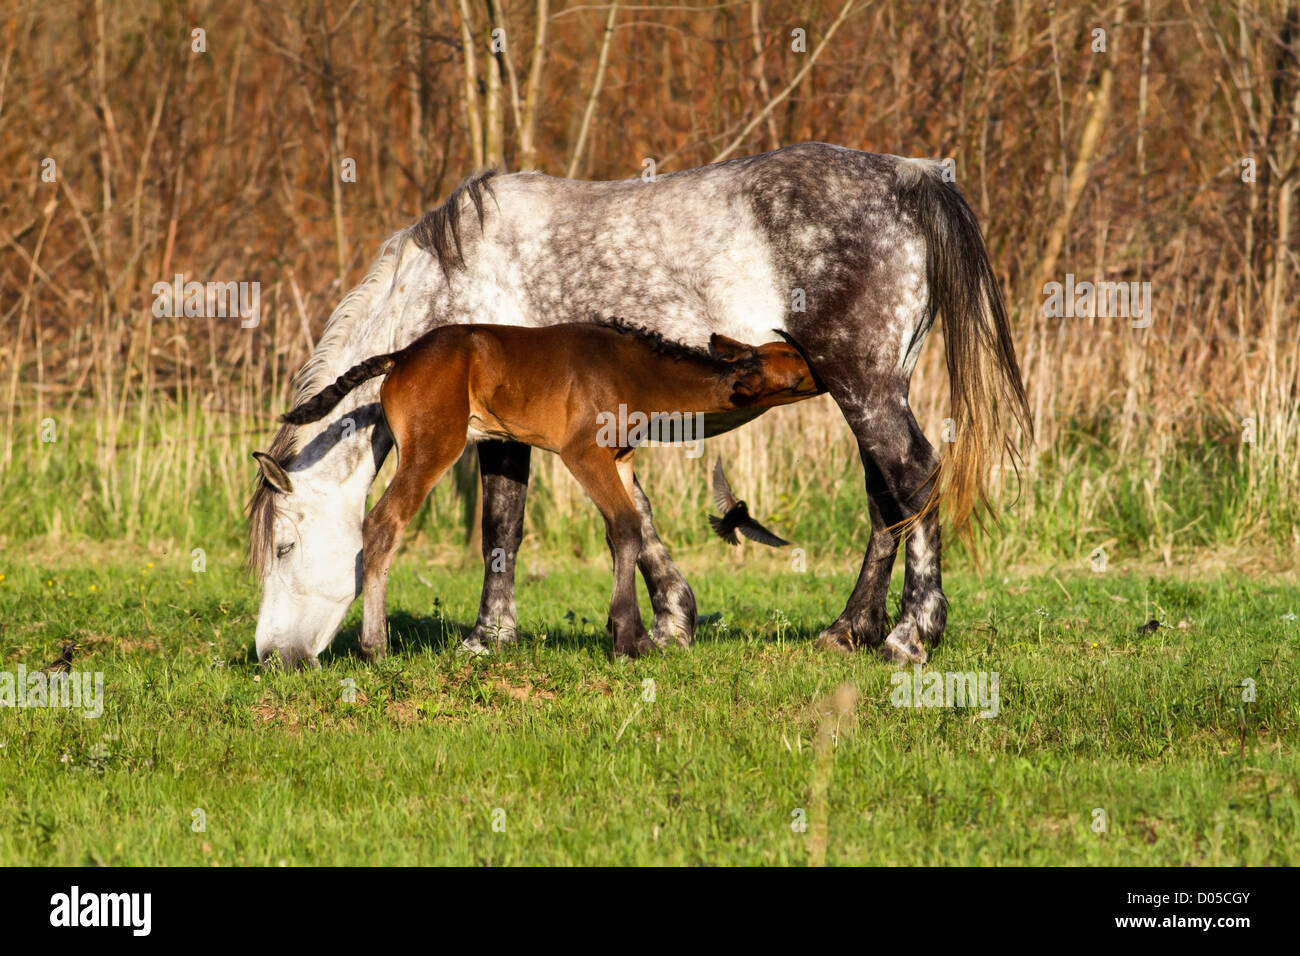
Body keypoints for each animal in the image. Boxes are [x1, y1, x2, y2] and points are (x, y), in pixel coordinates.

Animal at [283, 321, 816, 658]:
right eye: (795, 359)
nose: (825, 359)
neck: (635, 371)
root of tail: (403, 355)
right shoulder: (583, 453)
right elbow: (625, 526)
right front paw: (628, 638)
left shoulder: (620, 459)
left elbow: (627, 531)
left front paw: (638, 633)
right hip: (434, 446)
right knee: (383, 524)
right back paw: (375, 647)